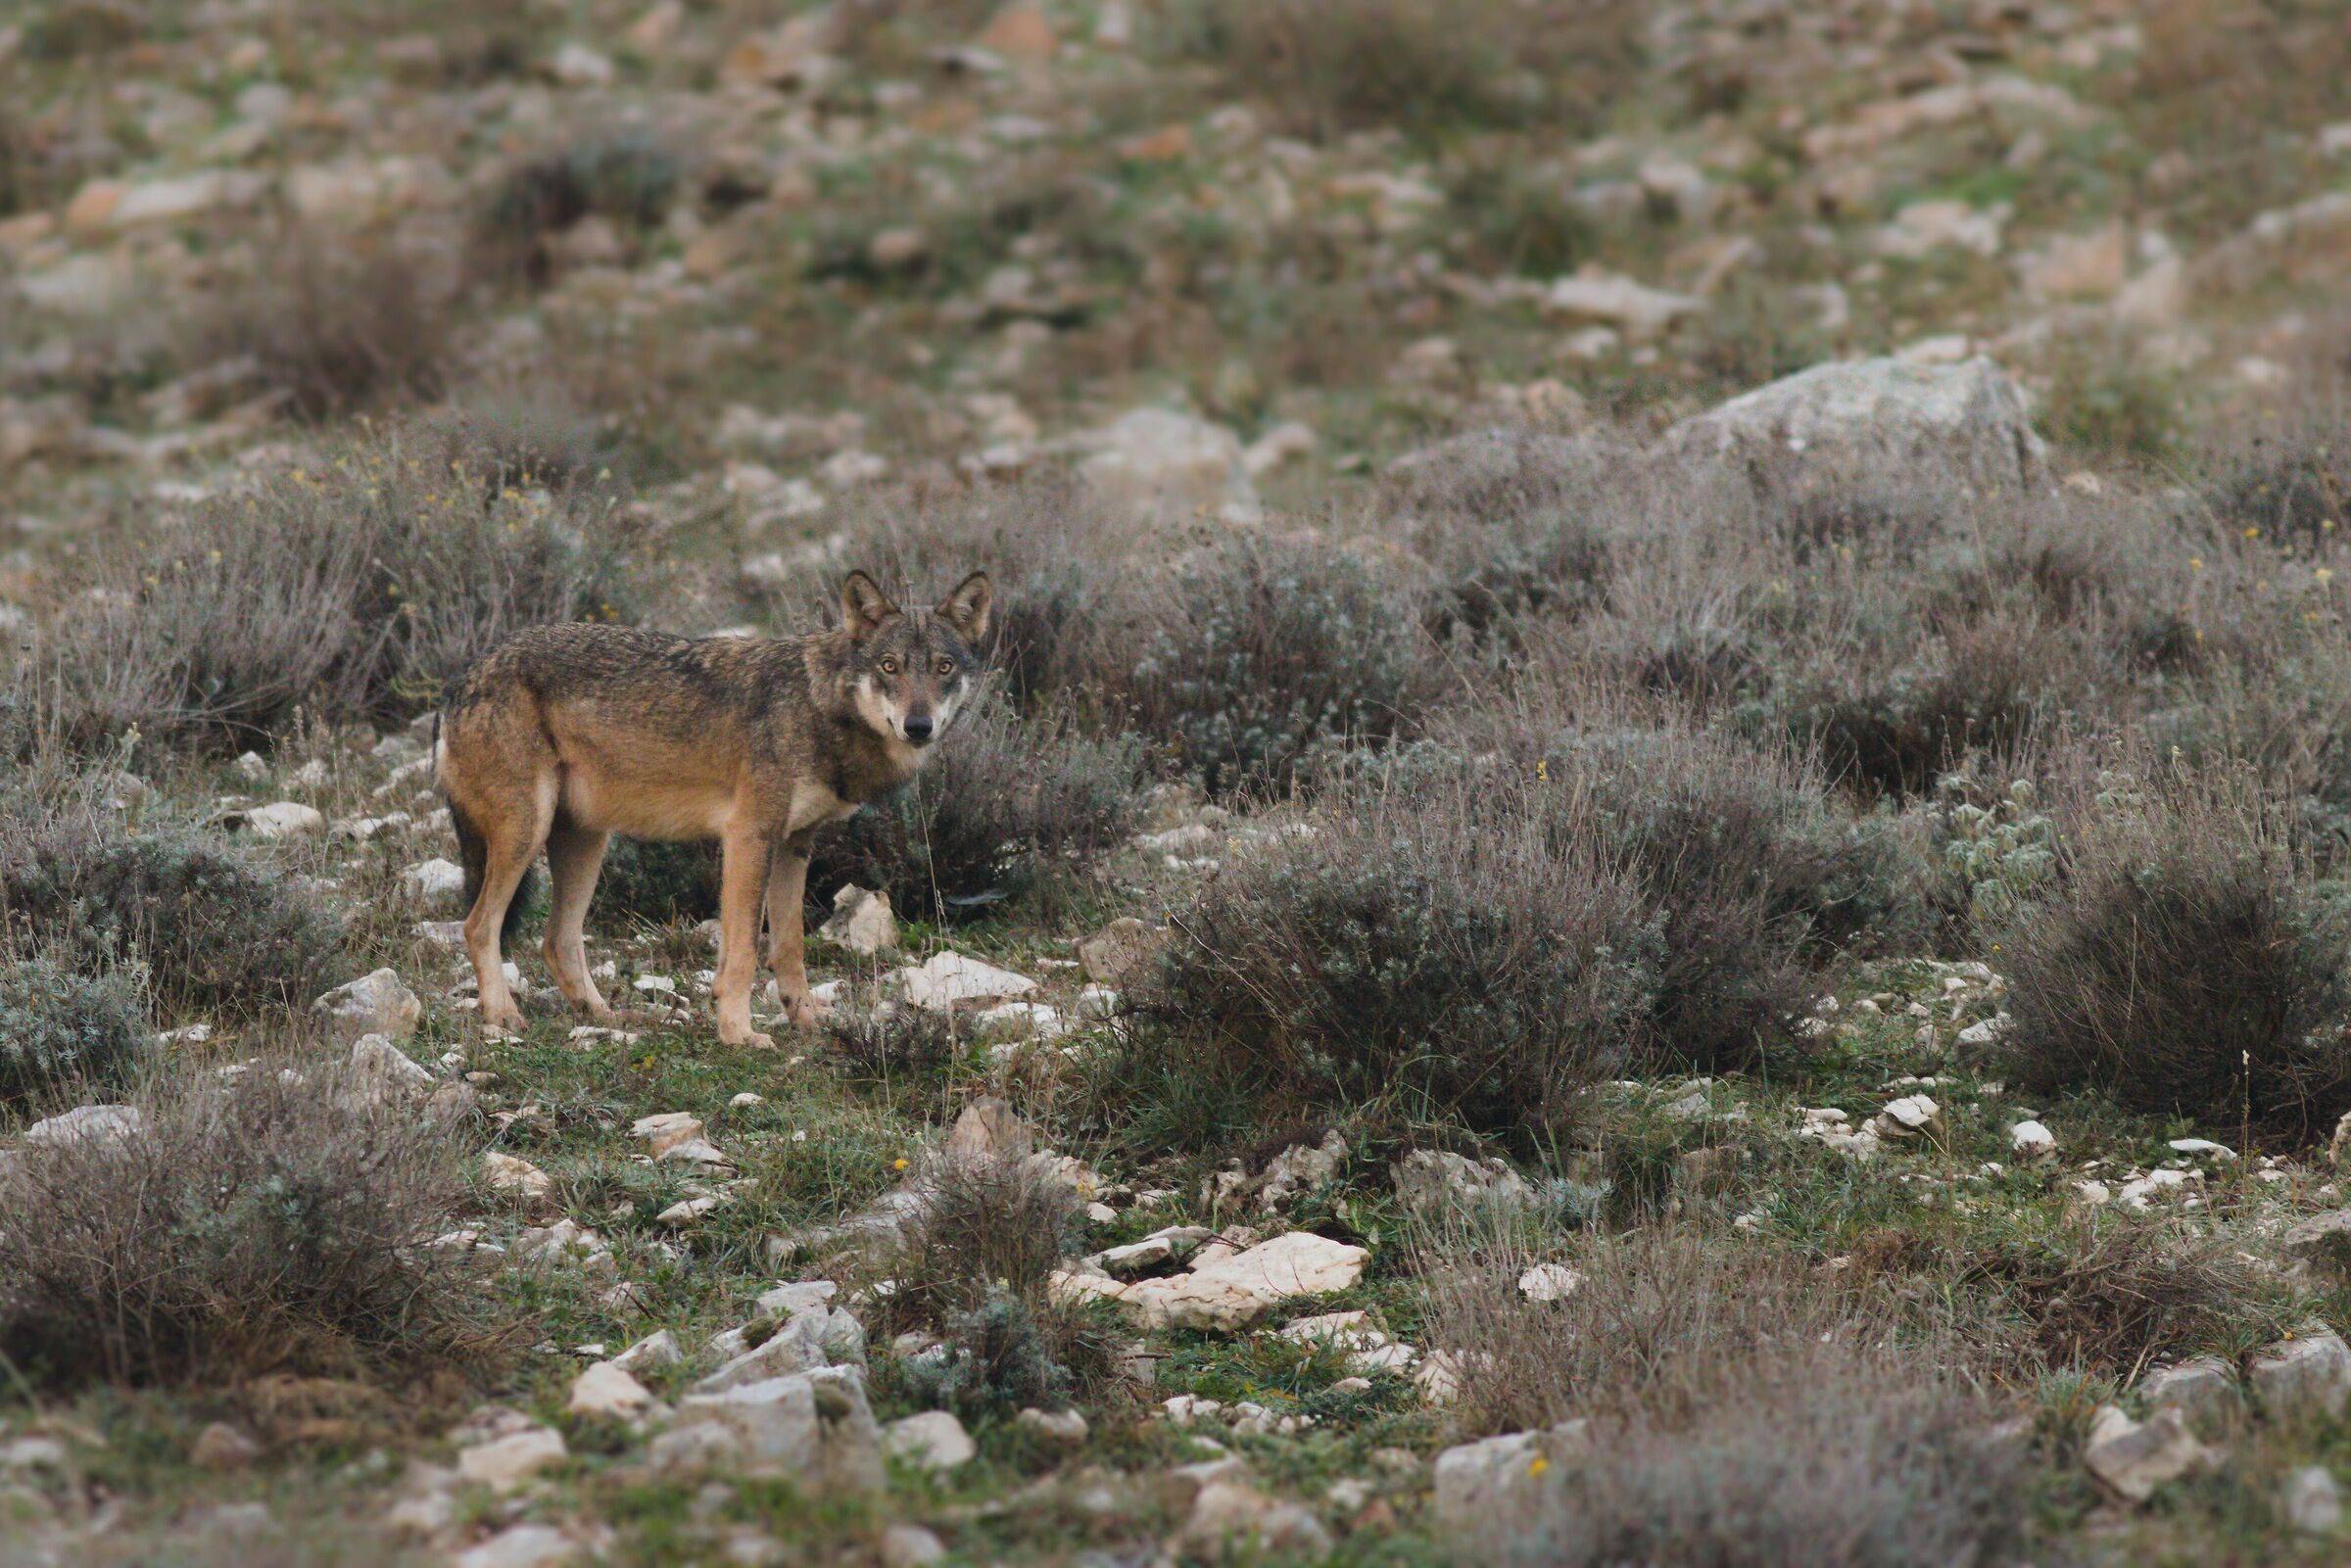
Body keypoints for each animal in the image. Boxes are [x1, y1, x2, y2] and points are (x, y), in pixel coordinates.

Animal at [434, 569, 991, 1048]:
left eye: (942, 668)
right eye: (889, 666)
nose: (918, 726)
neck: (818, 706)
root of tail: (462, 676)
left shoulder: (794, 846)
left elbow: (789, 948)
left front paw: (805, 1019)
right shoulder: (750, 834)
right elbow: (743, 950)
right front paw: (739, 1033)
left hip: (585, 844)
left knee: (557, 941)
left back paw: (606, 1016)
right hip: (526, 834)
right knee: (478, 926)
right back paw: (503, 1015)